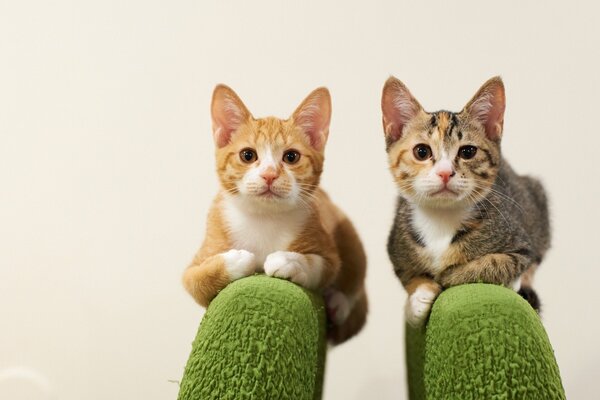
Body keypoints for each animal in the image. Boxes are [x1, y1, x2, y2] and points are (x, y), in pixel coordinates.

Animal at [183, 83, 368, 344]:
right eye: (247, 155)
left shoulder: (325, 243)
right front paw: (236, 261)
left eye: (291, 156)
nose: (269, 174)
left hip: (345, 228)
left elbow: (323, 265)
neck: (264, 218)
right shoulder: (202, 255)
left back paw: (337, 302)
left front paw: (290, 261)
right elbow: (196, 280)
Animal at [382, 76, 552, 326]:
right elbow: (411, 276)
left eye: (468, 152)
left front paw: (448, 276)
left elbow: (493, 264)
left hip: (537, 199)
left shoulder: (521, 244)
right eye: (421, 151)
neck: (441, 219)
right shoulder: (396, 248)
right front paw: (417, 301)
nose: (445, 173)